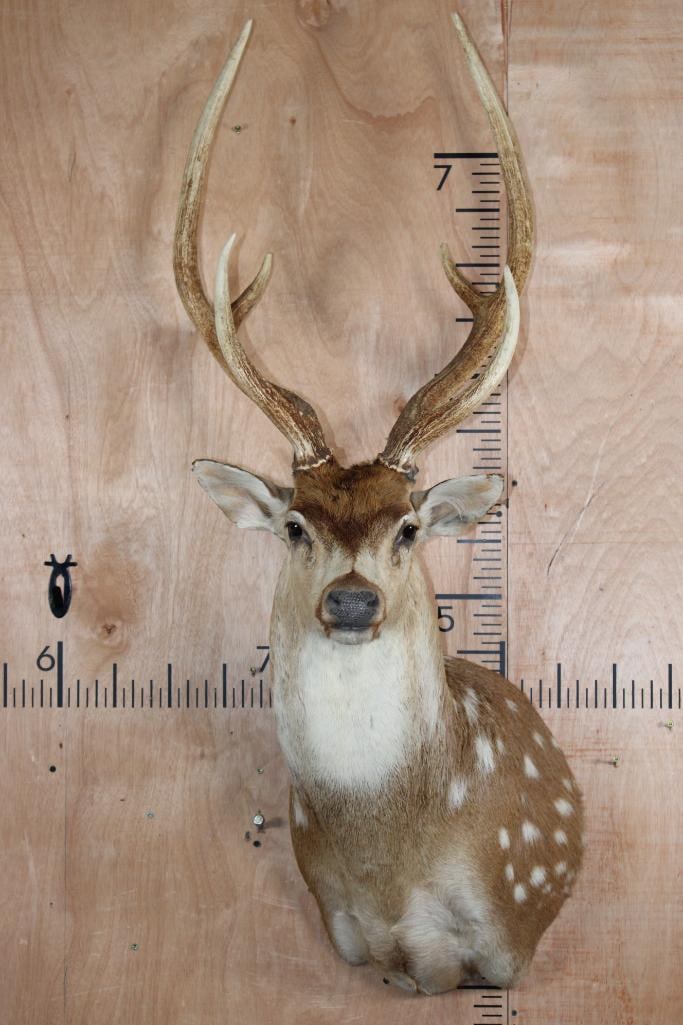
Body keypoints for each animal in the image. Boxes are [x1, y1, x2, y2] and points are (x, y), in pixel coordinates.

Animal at [174, 12, 584, 996]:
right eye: (294, 523)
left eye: (406, 527)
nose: (352, 600)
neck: (389, 862)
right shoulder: (343, 927)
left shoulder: (507, 930)